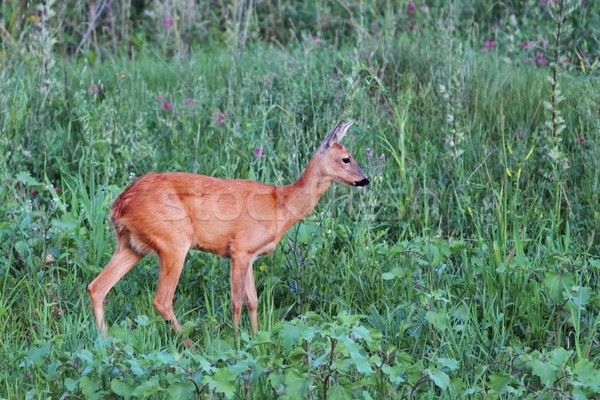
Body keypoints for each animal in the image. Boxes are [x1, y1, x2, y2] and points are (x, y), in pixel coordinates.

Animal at [88, 119, 370, 340]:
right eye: (346, 158)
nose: (365, 179)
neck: (280, 205)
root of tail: (119, 204)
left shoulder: (252, 255)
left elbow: (253, 301)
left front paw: (256, 337)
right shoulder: (240, 249)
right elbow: (236, 301)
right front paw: (235, 340)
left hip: (132, 245)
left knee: (96, 287)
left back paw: (104, 340)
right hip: (173, 240)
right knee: (162, 300)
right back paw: (189, 344)